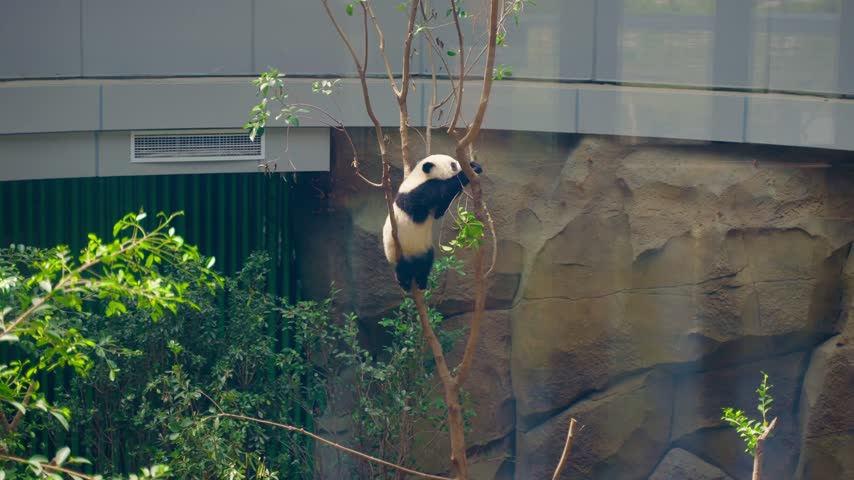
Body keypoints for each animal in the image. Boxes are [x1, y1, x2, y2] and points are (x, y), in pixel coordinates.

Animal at [383, 154, 483, 291]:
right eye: (453, 165)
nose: (460, 165)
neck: (420, 176)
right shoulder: (413, 194)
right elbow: (440, 191)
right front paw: (472, 168)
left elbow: (439, 212)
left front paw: (474, 166)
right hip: (397, 250)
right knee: (402, 268)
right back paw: (405, 282)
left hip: (423, 248)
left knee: (426, 261)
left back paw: (421, 281)